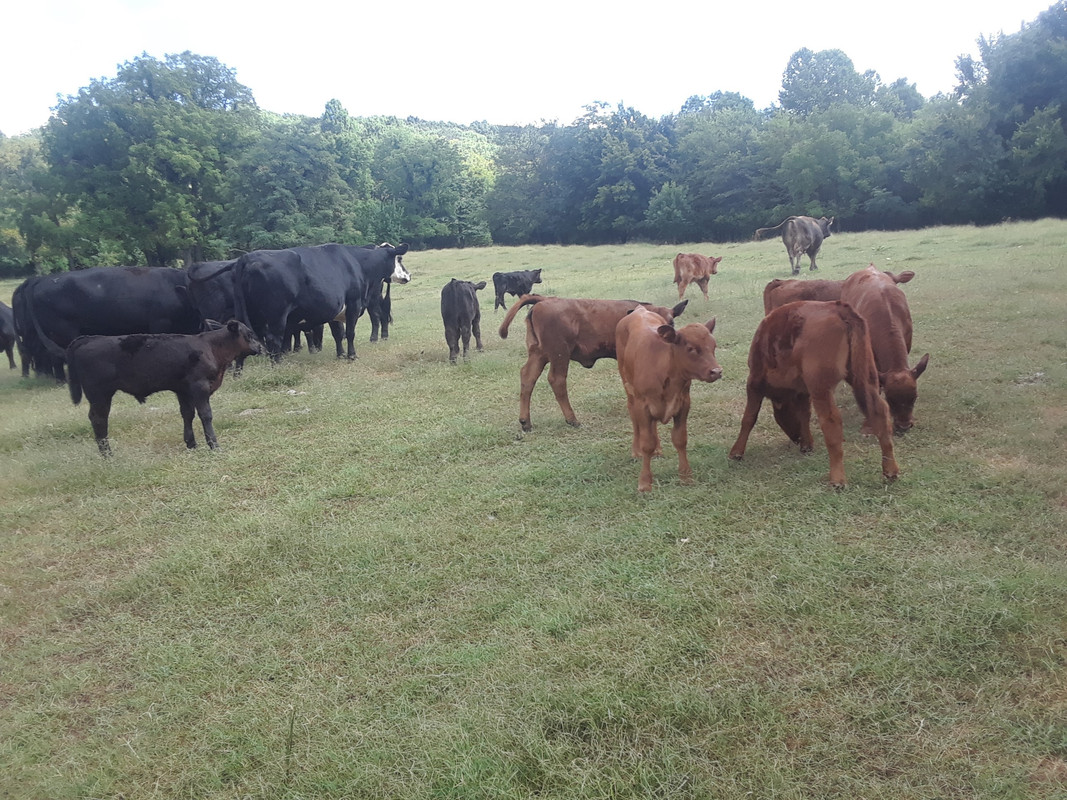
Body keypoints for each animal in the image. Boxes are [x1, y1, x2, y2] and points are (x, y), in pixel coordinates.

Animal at [66, 320, 263, 456]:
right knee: (98, 419)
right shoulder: (199, 386)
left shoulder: (183, 390)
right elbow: (205, 414)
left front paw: (191, 444)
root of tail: (88, 339)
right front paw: (214, 445)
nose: (261, 347)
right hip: (99, 394)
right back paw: (107, 454)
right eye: (250, 333)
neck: (210, 347)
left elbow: (187, 414)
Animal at [231, 243, 411, 360]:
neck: (357, 263)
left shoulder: (335, 308)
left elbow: (338, 333)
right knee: (273, 339)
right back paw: (278, 364)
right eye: (399, 259)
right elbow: (350, 332)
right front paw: (352, 355)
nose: (408, 275)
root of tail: (247, 257)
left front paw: (341, 354)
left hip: (252, 315)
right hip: (277, 314)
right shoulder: (353, 304)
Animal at [498, 294, 688, 432]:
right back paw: (572, 419)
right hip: (560, 354)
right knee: (556, 380)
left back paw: (526, 422)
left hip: (539, 354)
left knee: (527, 377)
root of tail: (544, 300)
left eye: (671, 322)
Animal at [616, 306, 722, 492]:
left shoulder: (684, 403)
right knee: (634, 418)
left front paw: (686, 476)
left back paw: (658, 450)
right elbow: (647, 443)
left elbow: (680, 439)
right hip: (628, 387)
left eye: (713, 346)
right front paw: (645, 482)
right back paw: (635, 451)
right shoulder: (642, 405)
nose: (716, 371)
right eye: (691, 348)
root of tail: (639, 309)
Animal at [728, 301, 899, 488]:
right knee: (879, 411)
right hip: (865, 378)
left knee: (832, 422)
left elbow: (748, 418)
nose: (796, 438)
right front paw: (807, 444)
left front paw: (736, 452)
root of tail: (838, 307)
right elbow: (805, 415)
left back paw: (837, 479)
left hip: (821, 388)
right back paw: (890, 470)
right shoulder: (803, 391)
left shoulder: (754, 383)